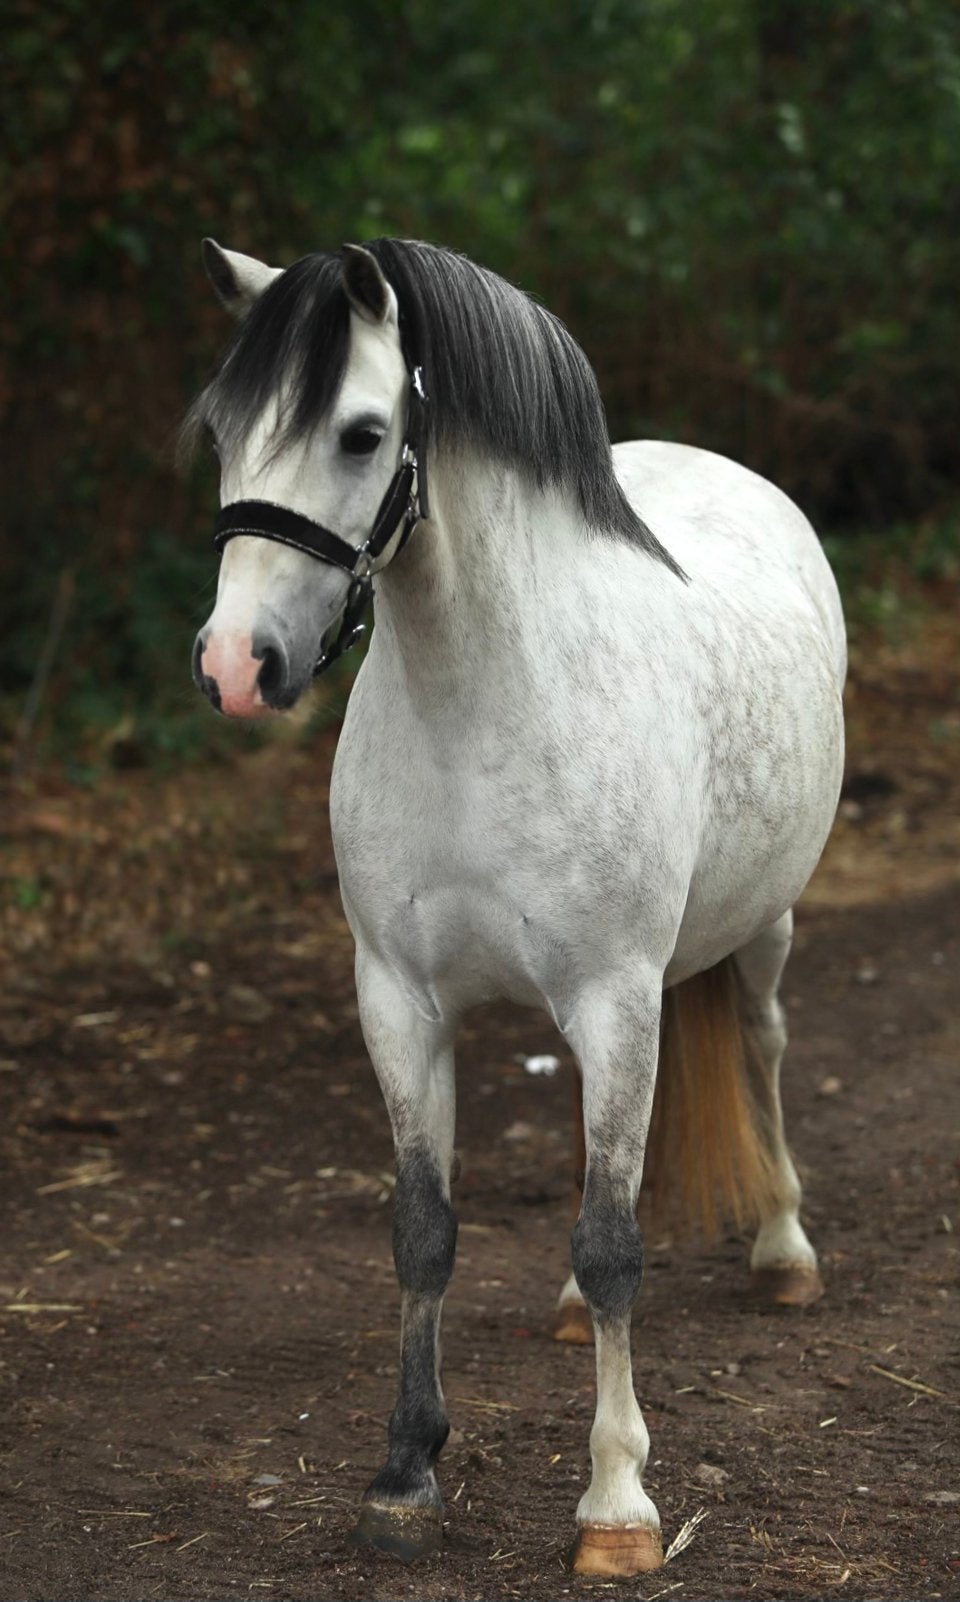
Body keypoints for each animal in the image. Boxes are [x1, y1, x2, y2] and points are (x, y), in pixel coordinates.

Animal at [184, 236, 845, 1576]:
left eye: (361, 434)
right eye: (222, 429)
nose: (235, 667)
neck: (481, 701)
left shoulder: (617, 994)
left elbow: (614, 1242)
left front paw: (618, 1506)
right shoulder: (397, 999)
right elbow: (426, 1228)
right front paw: (404, 1474)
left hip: (762, 928)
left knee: (762, 1047)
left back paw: (785, 1252)